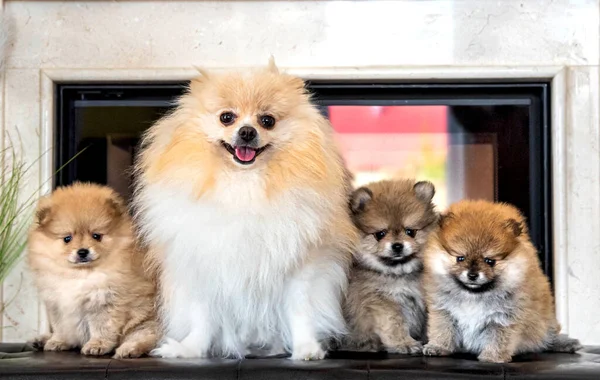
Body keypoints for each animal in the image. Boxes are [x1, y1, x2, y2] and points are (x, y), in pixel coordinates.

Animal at [26, 183, 157, 358]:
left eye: (96, 236)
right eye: (67, 238)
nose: (82, 251)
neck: (79, 274)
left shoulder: (105, 302)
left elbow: (102, 328)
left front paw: (97, 345)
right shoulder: (56, 304)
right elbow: (60, 327)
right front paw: (58, 341)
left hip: (145, 322)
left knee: (147, 337)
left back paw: (128, 349)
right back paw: (41, 340)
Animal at [132, 60, 356, 360]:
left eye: (267, 120)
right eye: (226, 117)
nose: (247, 132)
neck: (243, 182)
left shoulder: (301, 266)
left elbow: (300, 311)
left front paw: (307, 348)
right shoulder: (204, 262)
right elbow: (202, 316)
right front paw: (191, 348)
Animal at [340, 180, 438, 354]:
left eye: (410, 232)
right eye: (380, 234)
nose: (397, 246)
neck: (399, 273)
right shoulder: (381, 300)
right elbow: (395, 324)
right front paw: (405, 344)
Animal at [422, 199, 580, 362]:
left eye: (490, 261)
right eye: (460, 258)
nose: (472, 275)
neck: (474, 295)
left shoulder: (504, 317)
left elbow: (498, 338)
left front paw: (492, 357)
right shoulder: (443, 312)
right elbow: (442, 331)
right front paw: (438, 347)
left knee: (550, 336)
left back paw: (565, 343)